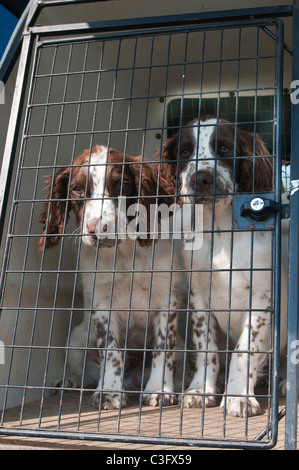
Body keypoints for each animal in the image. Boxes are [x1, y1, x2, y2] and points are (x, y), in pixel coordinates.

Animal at [38, 145, 182, 410]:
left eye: (121, 185)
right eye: (77, 189)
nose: (98, 229)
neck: (124, 255)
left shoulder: (167, 299)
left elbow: (163, 348)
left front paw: (159, 389)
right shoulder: (102, 303)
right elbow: (111, 350)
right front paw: (109, 392)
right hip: (75, 341)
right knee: (82, 370)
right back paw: (70, 381)